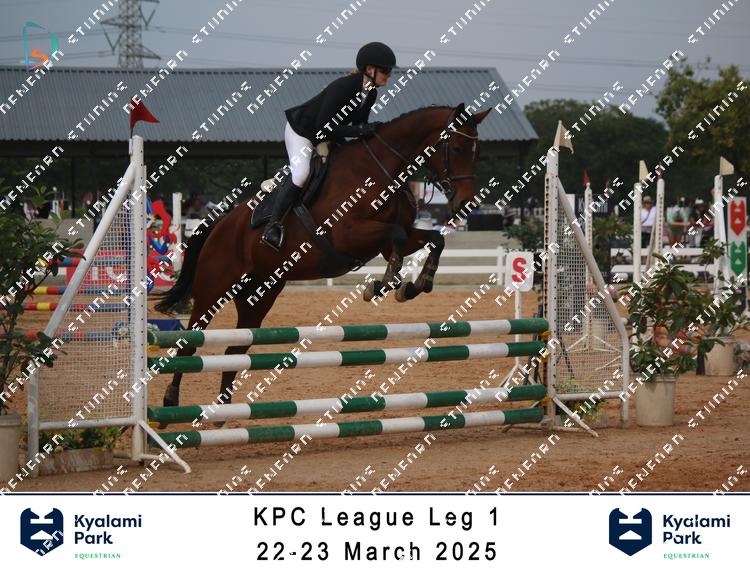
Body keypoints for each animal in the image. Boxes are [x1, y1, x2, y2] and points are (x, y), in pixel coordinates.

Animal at [154, 103, 491, 408]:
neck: (383, 169)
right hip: (214, 288)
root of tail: (220, 223)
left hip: (258, 295)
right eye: (458, 147)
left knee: (235, 351)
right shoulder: (349, 234)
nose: (466, 203)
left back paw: (224, 410)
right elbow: (395, 235)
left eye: (478, 153)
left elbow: (434, 239)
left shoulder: (393, 240)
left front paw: (414, 286)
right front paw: (381, 285)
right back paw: (171, 399)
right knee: (190, 342)